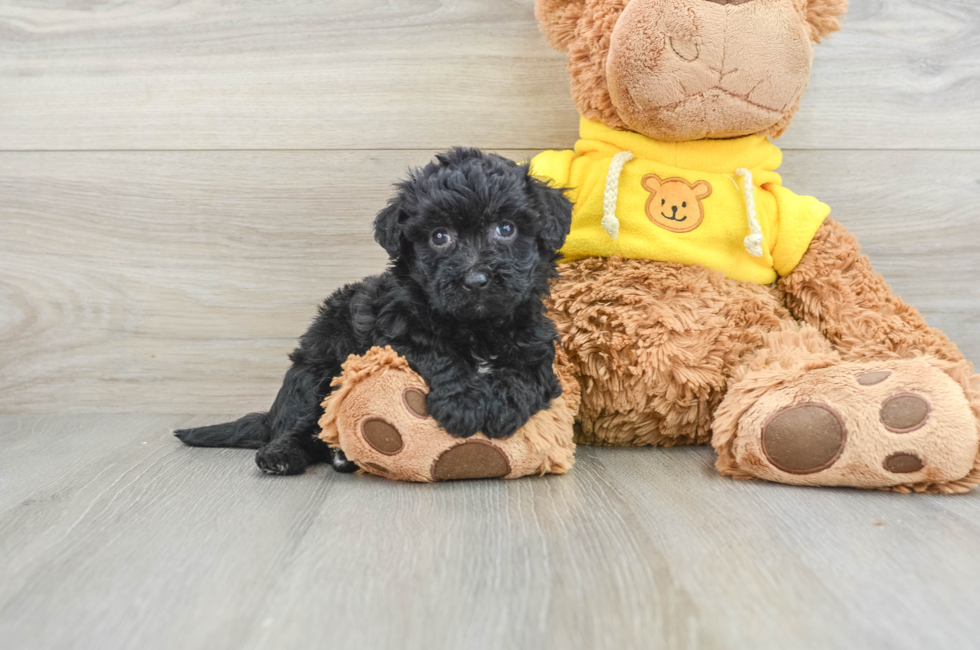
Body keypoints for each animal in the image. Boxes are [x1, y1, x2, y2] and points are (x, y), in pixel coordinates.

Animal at [176, 149, 576, 474]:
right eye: (439, 236)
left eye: (506, 228)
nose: (475, 280)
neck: (476, 325)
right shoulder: (396, 332)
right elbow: (437, 354)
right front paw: (464, 402)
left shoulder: (535, 345)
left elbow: (523, 376)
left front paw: (501, 407)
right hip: (314, 372)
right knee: (299, 425)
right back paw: (283, 455)